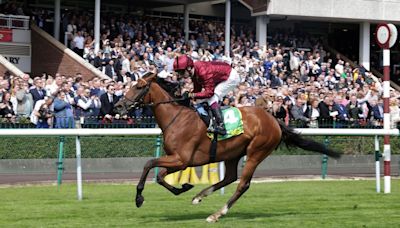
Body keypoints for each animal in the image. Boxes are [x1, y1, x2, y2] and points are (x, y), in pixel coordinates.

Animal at [113, 73, 340, 223]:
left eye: (139, 87)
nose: (118, 106)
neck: (176, 118)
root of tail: (273, 119)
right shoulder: (177, 160)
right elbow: (159, 176)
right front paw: (184, 187)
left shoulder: (182, 159)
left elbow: (149, 163)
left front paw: (139, 198)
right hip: (232, 153)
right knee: (230, 177)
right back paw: (199, 196)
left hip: (256, 152)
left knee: (242, 184)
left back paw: (216, 214)